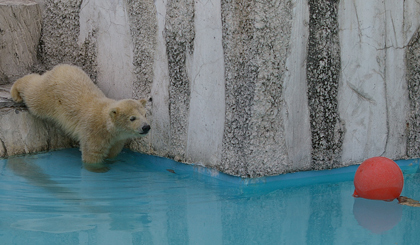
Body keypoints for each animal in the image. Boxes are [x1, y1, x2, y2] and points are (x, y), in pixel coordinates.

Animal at [11, 64, 151, 173]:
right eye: (132, 118)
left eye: (145, 114)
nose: (146, 127)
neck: (107, 125)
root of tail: (59, 67)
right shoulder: (94, 132)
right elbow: (92, 155)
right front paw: (99, 169)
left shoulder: (117, 138)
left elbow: (113, 151)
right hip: (49, 97)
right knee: (34, 96)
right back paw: (16, 91)